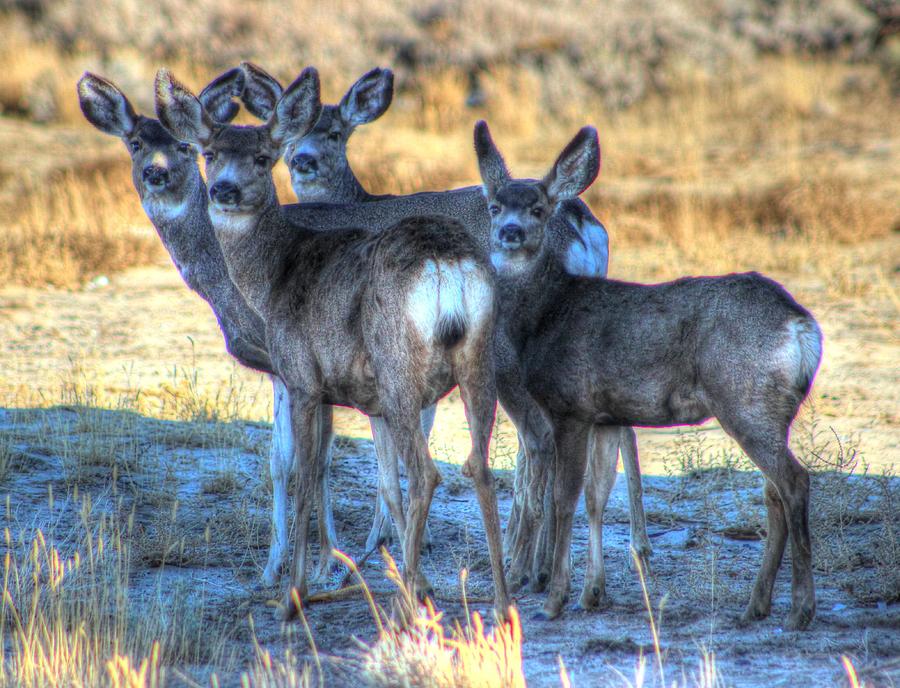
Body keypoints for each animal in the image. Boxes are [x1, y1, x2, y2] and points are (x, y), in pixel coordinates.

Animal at [75, 68, 338, 584]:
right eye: (135, 143)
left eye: (185, 147)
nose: (156, 174)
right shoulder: (281, 367)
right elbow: (280, 460)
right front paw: (274, 567)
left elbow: (318, 460)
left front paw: (327, 566)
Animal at [153, 68, 506, 620]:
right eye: (209, 153)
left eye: (264, 156)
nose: (224, 190)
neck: (275, 272)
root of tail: (445, 266)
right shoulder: (360, 397)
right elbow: (365, 482)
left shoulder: (301, 376)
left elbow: (304, 476)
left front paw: (292, 594)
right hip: (476, 361)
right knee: (478, 467)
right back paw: (498, 602)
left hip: (399, 368)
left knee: (427, 472)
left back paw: (412, 603)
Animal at [241, 61, 652, 584]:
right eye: (292, 135)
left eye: (335, 132)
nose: (303, 160)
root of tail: (586, 224)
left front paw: (382, 542)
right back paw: (626, 548)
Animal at [478, 119, 824, 628]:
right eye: (495, 205)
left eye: (539, 208)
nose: (509, 232)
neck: (545, 316)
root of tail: (803, 328)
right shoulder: (606, 415)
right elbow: (597, 497)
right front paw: (592, 593)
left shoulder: (571, 406)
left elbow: (564, 499)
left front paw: (555, 599)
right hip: (770, 410)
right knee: (774, 491)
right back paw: (755, 606)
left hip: (744, 398)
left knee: (794, 482)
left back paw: (799, 610)